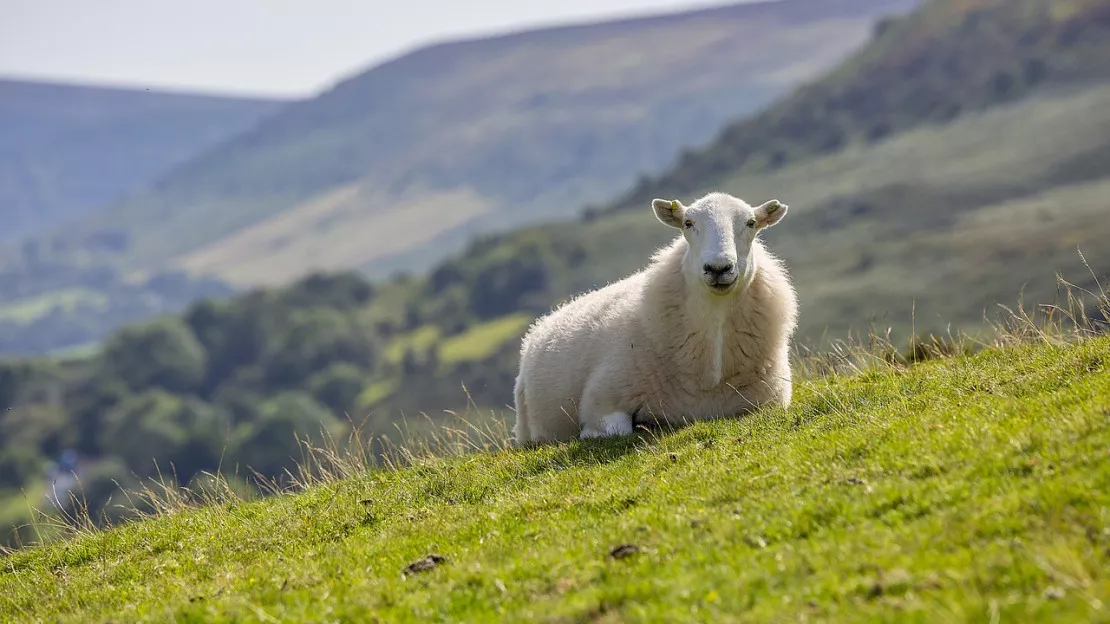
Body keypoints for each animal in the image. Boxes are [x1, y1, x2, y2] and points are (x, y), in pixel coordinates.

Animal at [510, 189, 799, 441]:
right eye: (687, 223)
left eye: (751, 223)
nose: (718, 268)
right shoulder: (601, 401)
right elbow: (615, 430)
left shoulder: (771, 402)